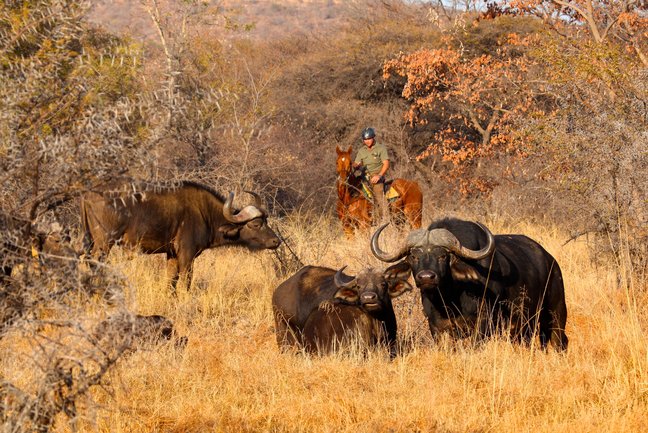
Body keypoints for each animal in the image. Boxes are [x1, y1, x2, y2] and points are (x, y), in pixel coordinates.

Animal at [79, 181, 280, 292]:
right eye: (256, 224)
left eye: (266, 220)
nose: (276, 241)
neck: (204, 213)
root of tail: (88, 194)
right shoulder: (186, 255)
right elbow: (186, 282)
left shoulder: (172, 255)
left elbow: (170, 282)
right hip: (104, 244)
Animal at [370, 218, 568, 350]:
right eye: (413, 256)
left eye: (443, 255)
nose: (426, 277)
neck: (450, 299)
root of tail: (550, 260)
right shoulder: (437, 328)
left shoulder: (483, 324)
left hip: (556, 313)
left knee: (560, 340)